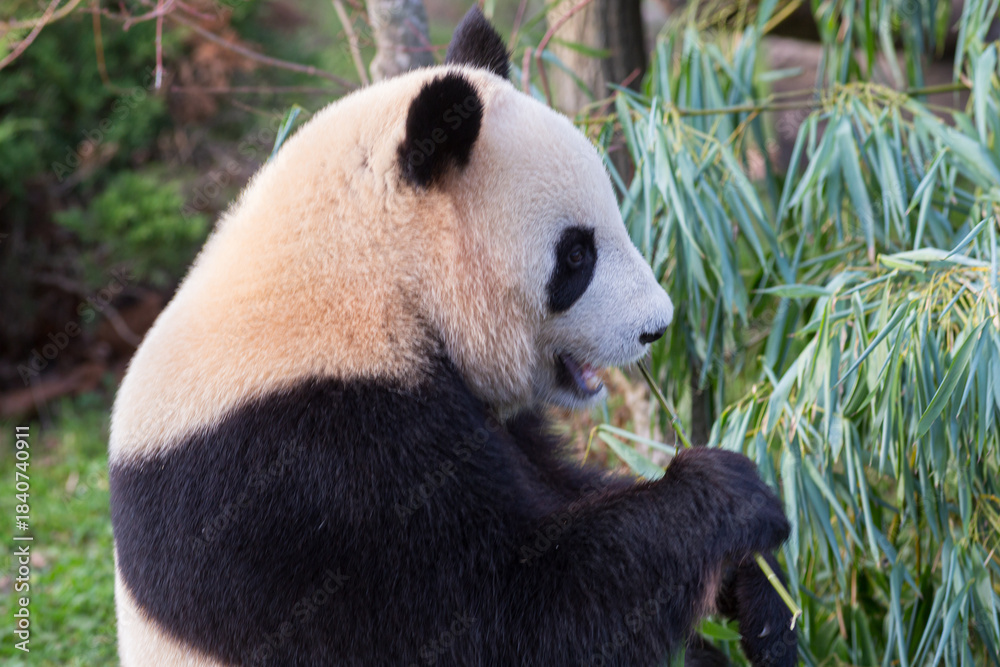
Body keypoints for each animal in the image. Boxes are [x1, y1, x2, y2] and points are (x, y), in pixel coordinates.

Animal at [109, 7, 796, 666]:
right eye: (576, 255)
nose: (656, 326)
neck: (364, 271)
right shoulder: (307, 463)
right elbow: (500, 618)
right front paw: (730, 495)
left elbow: (561, 492)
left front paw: (761, 595)